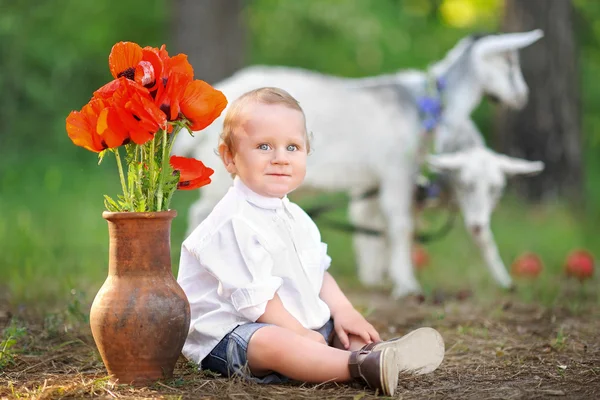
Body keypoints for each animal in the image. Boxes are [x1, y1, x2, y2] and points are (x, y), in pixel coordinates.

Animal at [172, 29, 544, 296]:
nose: (522, 97)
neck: (421, 106)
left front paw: (379, 277)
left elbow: (376, 227)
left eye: (497, 190)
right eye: (509, 63)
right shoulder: (396, 170)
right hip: (224, 174)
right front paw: (407, 286)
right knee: (203, 214)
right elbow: (400, 224)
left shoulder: (374, 182)